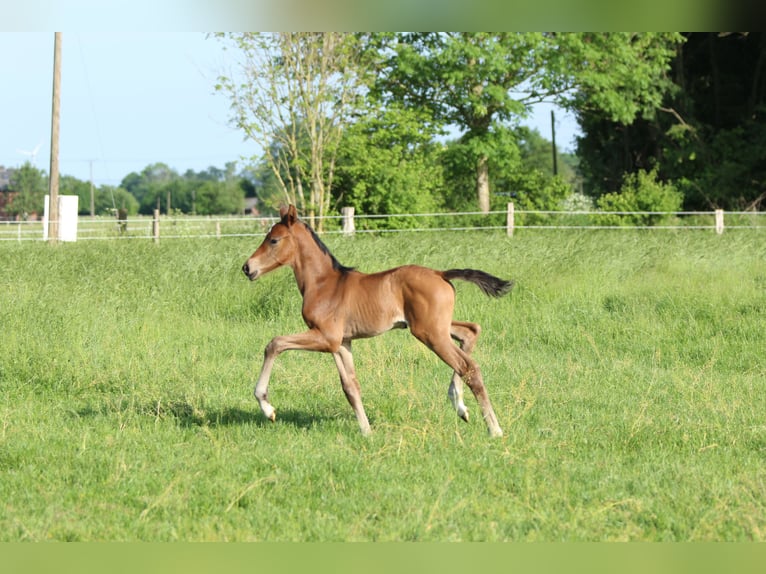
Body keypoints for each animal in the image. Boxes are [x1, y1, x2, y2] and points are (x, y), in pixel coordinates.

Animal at [242, 205, 513, 437]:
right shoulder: (341, 343)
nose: (247, 267)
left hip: (430, 333)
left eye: (274, 240)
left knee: (468, 366)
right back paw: (460, 406)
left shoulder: (326, 337)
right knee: (471, 332)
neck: (323, 284)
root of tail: (441, 274)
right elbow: (350, 387)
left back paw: (494, 429)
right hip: (438, 328)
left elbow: (274, 344)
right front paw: (366, 431)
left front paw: (267, 407)